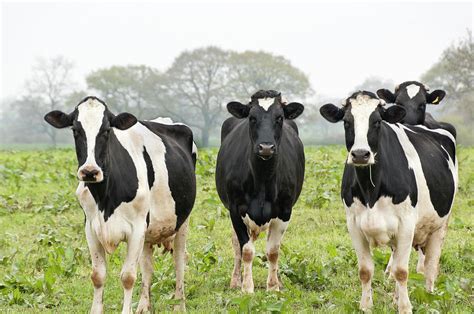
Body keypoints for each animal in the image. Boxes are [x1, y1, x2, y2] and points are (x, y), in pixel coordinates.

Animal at [42, 97, 194, 312]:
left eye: (107, 131)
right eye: (75, 130)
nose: (89, 171)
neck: (105, 199)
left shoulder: (136, 228)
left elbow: (128, 277)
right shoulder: (91, 228)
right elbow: (98, 276)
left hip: (182, 221)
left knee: (179, 261)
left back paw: (179, 306)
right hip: (149, 232)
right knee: (147, 266)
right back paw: (143, 307)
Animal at [217, 89, 306, 294]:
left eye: (279, 118)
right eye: (252, 118)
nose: (266, 147)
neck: (262, 180)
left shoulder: (284, 211)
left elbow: (273, 251)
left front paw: (273, 286)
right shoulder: (235, 209)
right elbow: (246, 250)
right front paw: (247, 287)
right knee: (236, 245)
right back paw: (236, 280)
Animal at [320, 92, 458, 312]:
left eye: (377, 122)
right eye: (346, 122)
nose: (360, 154)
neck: (370, 190)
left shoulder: (406, 224)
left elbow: (401, 271)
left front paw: (405, 308)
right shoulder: (354, 225)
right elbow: (366, 270)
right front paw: (366, 306)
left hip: (440, 225)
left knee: (430, 265)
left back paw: (429, 298)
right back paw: (395, 298)